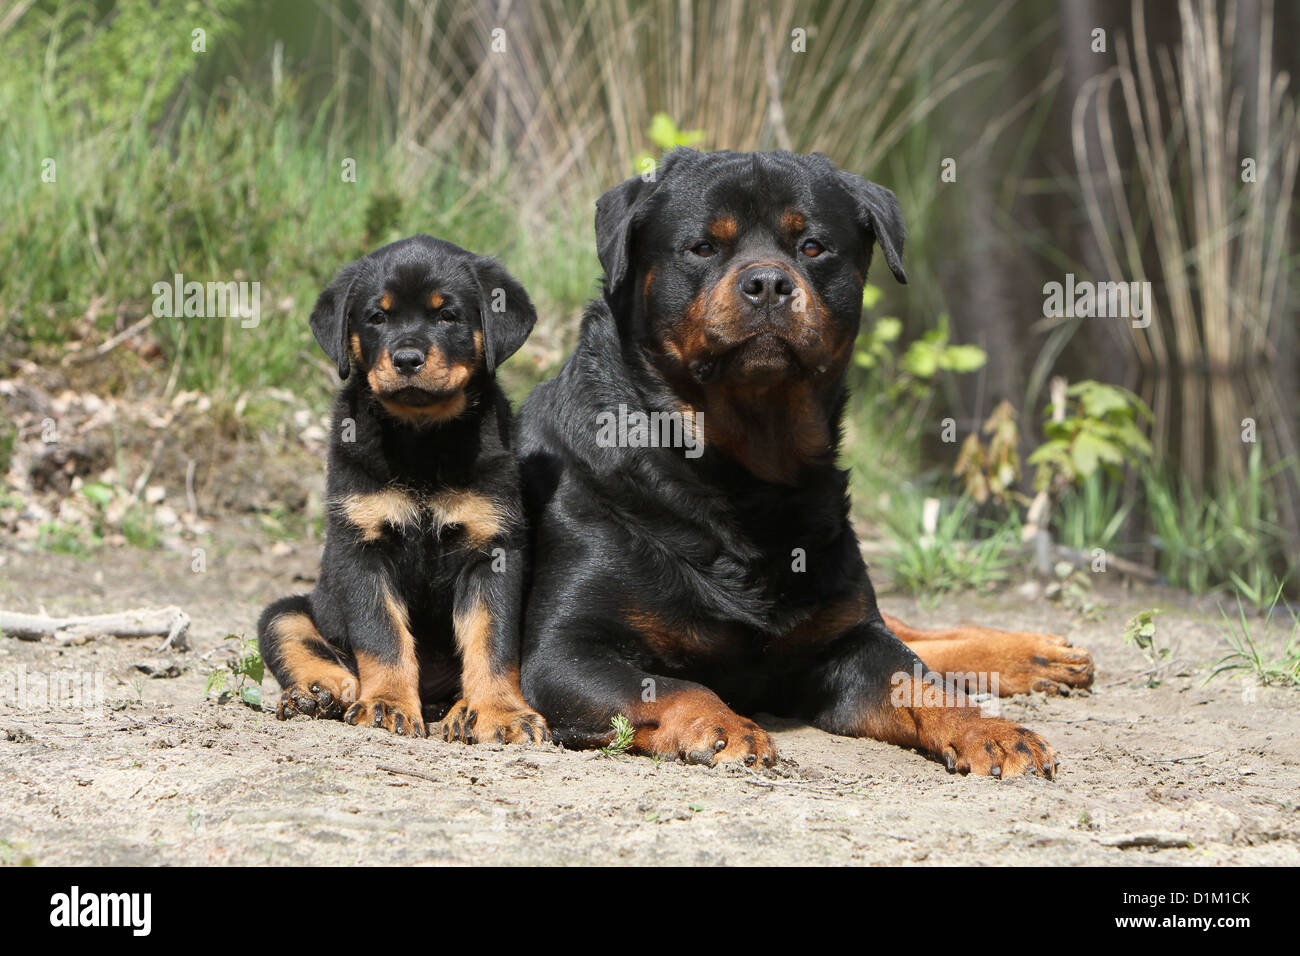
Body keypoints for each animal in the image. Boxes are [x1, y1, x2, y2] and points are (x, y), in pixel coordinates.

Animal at [258, 235, 548, 743]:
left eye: (447, 315)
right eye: (377, 317)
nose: (407, 359)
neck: (422, 440)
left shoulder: (492, 548)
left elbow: (491, 642)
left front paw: (503, 713)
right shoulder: (362, 545)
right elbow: (382, 635)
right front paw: (387, 704)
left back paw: (461, 711)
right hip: (288, 611)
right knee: (298, 637)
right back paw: (318, 694)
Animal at [522, 149, 1092, 780]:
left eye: (813, 247)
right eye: (703, 247)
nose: (768, 282)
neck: (740, 475)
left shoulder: (847, 641)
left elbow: (920, 682)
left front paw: (989, 730)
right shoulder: (564, 652)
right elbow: (675, 686)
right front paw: (723, 726)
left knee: (909, 632)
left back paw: (1033, 653)